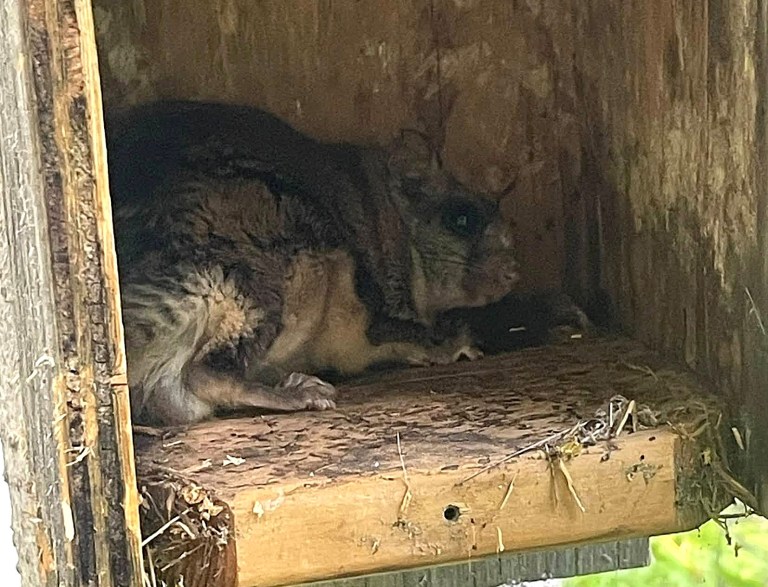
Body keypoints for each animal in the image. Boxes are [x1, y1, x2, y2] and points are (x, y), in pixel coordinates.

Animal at [107, 101, 520, 426]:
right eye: (461, 219)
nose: (514, 271)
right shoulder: (379, 307)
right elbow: (408, 334)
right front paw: (456, 344)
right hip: (259, 283)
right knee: (204, 373)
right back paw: (297, 392)